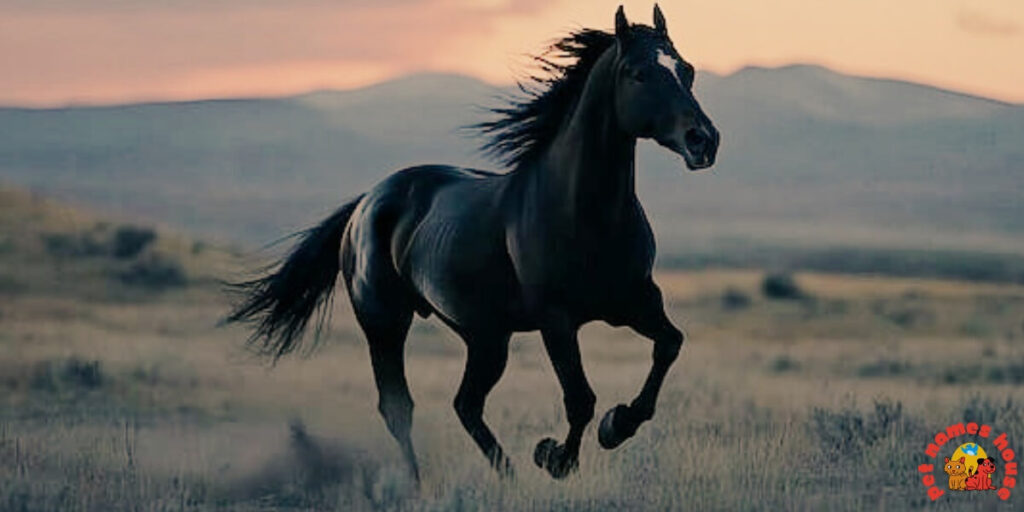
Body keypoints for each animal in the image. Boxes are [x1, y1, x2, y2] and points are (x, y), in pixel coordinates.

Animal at [226, 4, 719, 481]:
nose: (703, 141)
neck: (585, 213)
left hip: (486, 336)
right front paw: (556, 458)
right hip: (385, 323)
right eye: (638, 73)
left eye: (687, 69)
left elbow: (669, 345)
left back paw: (508, 476)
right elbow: (580, 399)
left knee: (466, 404)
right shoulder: (557, 319)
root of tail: (365, 203)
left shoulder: (636, 301)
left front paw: (615, 426)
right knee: (399, 407)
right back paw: (420, 486)